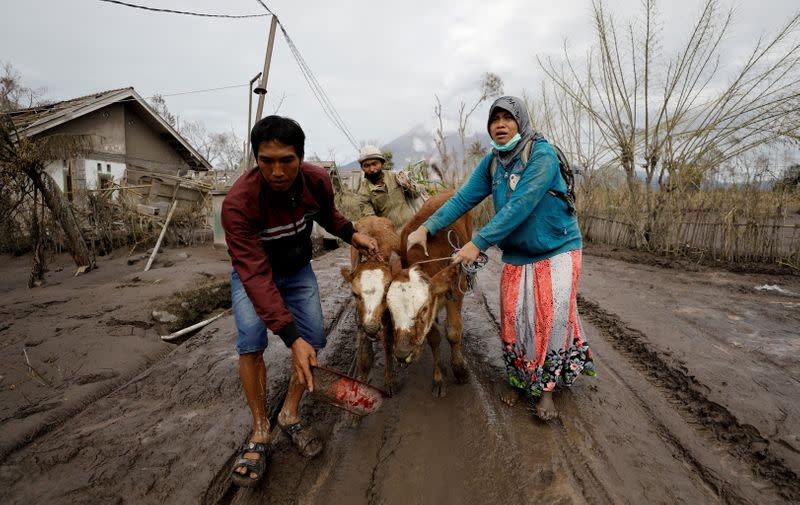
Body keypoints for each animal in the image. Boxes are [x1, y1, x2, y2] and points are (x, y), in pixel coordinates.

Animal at [340, 215, 400, 392]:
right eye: (354, 294)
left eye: (387, 293)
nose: (372, 328)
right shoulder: (361, 320)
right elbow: (363, 347)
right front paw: (361, 378)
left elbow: (388, 342)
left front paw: (389, 380)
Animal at [386, 190, 472, 398]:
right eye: (390, 310)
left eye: (423, 309)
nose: (402, 354)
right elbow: (433, 339)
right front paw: (438, 378)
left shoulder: (455, 288)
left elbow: (454, 332)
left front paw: (459, 369)